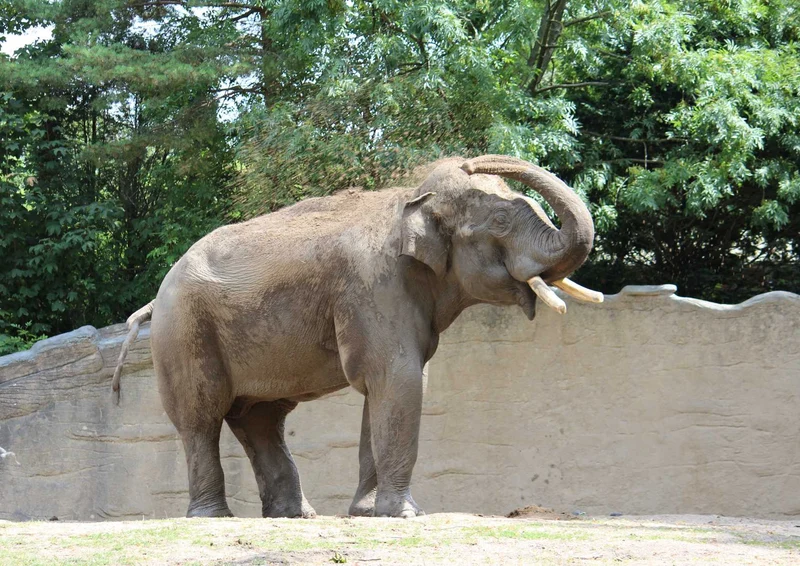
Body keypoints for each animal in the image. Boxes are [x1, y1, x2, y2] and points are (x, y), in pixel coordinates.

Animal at [112, 154, 603, 519]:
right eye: (501, 219)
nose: (472, 159)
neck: (408, 199)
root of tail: (157, 295)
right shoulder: (375, 286)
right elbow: (399, 380)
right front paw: (406, 515)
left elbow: (391, 388)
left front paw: (368, 513)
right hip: (184, 331)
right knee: (202, 416)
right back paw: (214, 517)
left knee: (261, 419)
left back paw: (295, 516)